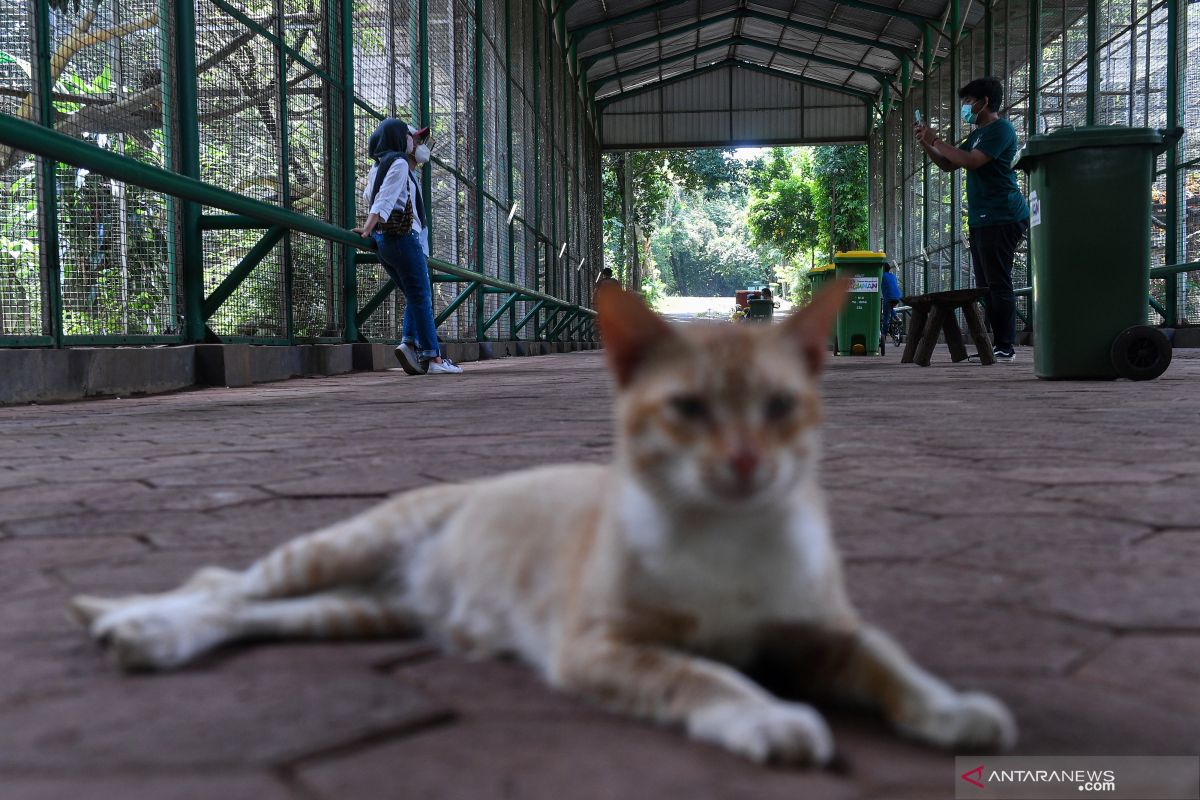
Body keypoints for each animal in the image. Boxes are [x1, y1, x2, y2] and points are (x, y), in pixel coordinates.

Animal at [72, 281, 1012, 762]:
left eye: (781, 407)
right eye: (688, 409)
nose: (747, 463)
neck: (729, 538)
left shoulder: (829, 631)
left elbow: (891, 662)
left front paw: (956, 710)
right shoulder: (597, 645)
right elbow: (701, 677)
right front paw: (768, 716)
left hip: (360, 608)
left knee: (259, 612)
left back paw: (143, 634)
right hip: (343, 543)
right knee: (223, 586)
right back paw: (139, 624)